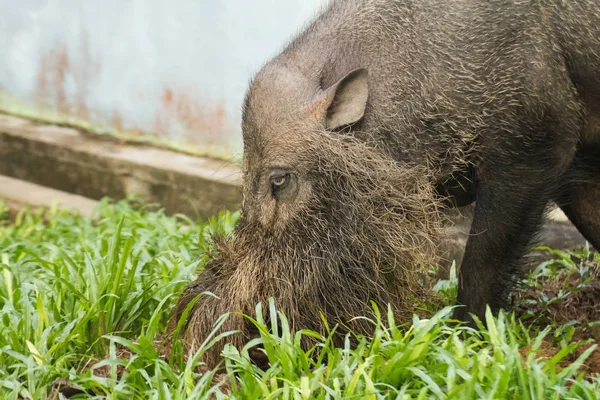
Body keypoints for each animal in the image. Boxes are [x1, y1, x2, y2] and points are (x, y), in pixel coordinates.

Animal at [171, 0, 596, 368]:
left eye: (279, 179)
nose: (204, 343)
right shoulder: (574, 168)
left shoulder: (536, 151)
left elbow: (480, 264)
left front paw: (466, 338)